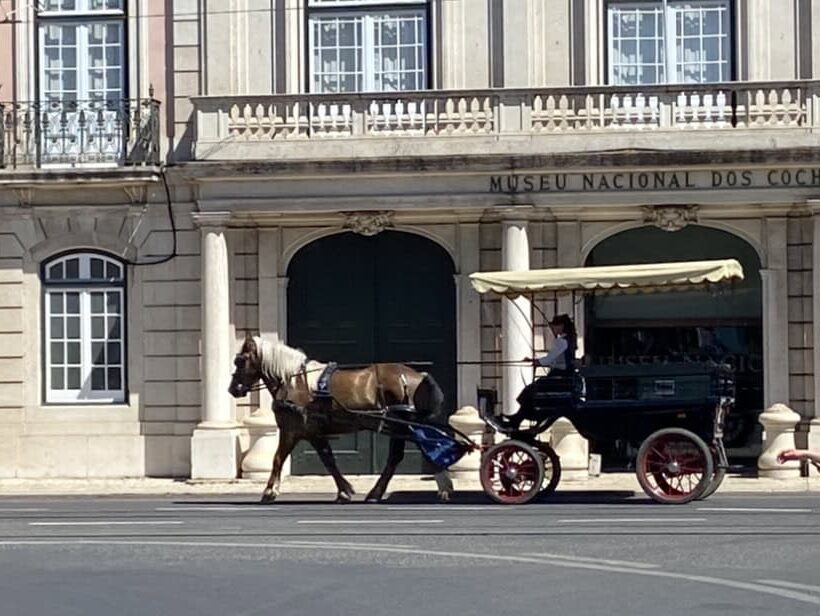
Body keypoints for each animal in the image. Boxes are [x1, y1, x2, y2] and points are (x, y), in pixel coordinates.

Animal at [227, 334, 454, 502]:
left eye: (240, 360)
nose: (233, 389)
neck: (293, 382)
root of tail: (419, 376)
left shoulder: (292, 430)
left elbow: (278, 459)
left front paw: (269, 491)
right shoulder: (313, 433)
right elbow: (328, 459)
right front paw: (344, 490)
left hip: (404, 426)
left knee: (412, 452)